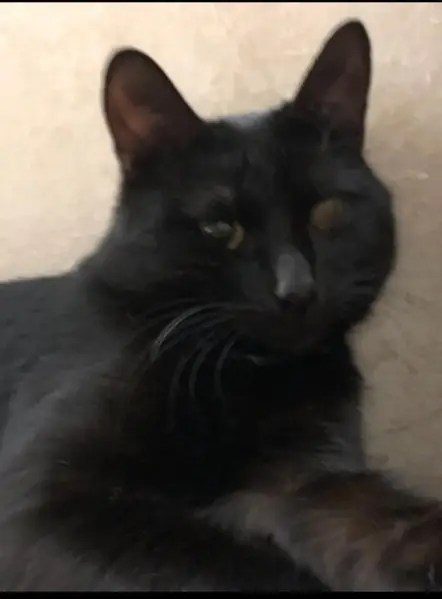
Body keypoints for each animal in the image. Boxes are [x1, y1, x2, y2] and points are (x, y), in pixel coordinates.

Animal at [0, 18, 441, 591]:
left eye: (327, 212)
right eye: (219, 226)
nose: (297, 290)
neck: (248, 378)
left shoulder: (301, 476)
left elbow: (373, 519)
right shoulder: (38, 502)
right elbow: (222, 564)